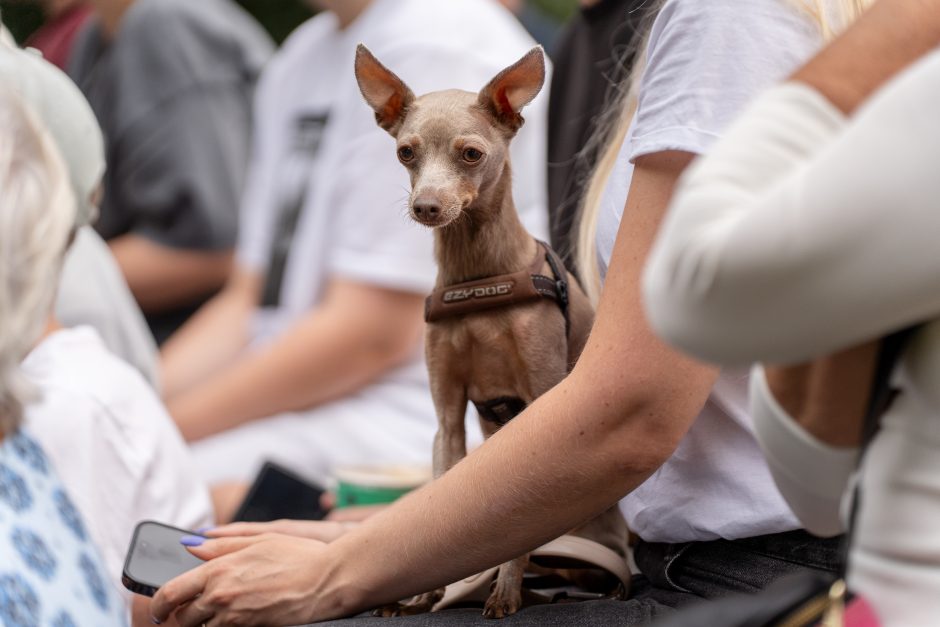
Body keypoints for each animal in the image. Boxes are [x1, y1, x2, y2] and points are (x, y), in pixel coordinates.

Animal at [356, 46, 628, 620]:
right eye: (405, 153)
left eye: (471, 154)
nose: (426, 207)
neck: (476, 278)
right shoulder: (448, 416)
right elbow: (440, 505)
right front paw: (424, 595)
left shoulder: (542, 395)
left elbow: (517, 533)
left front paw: (504, 592)